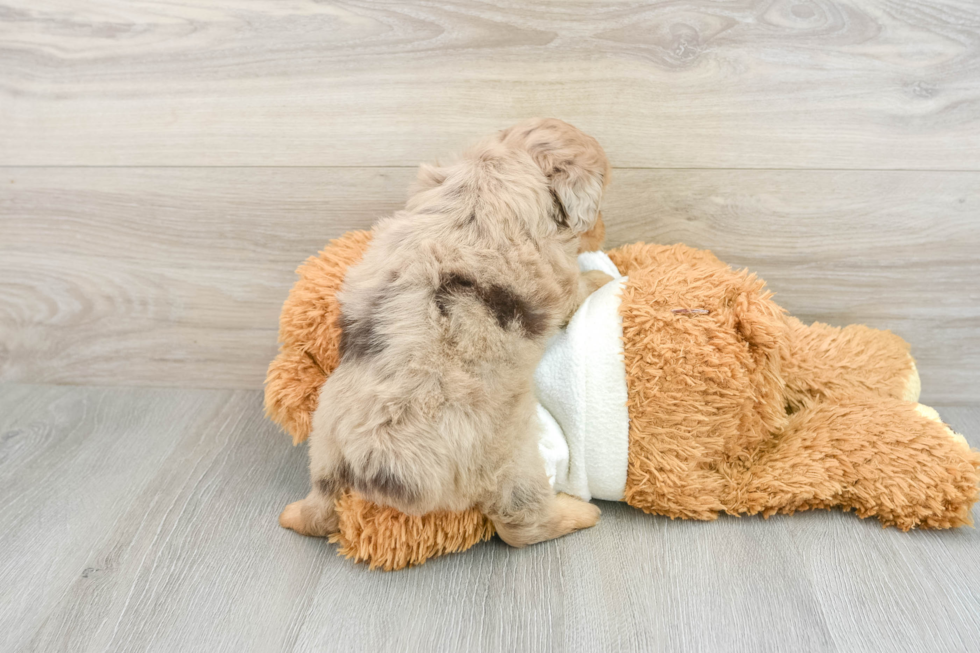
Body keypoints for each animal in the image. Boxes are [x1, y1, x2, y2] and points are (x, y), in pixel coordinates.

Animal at [278, 117, 612, 544]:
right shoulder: (561, 280)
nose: (602, 231)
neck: (498, 166)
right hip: (509, 460)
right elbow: (579, 287)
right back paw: (580, 512)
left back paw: (292, 515)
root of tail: (374, 469)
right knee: (520, 523)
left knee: (320, 512)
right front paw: (602, 276)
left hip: (323, 445)